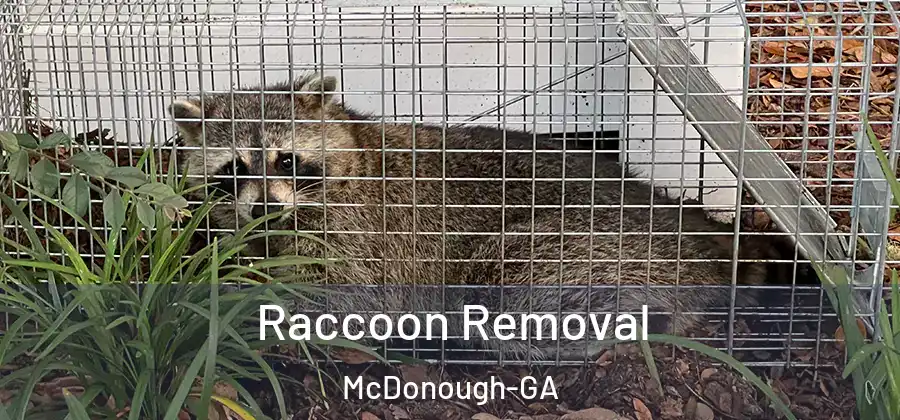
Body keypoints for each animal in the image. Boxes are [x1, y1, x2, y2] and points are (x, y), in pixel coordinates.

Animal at [167, 74, 783, 360]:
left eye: (287, 160)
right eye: (233, 169)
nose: (265, 207)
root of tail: (696, 237)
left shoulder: (364, 235)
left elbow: (344, 299)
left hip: (578, 247)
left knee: (505, 291)